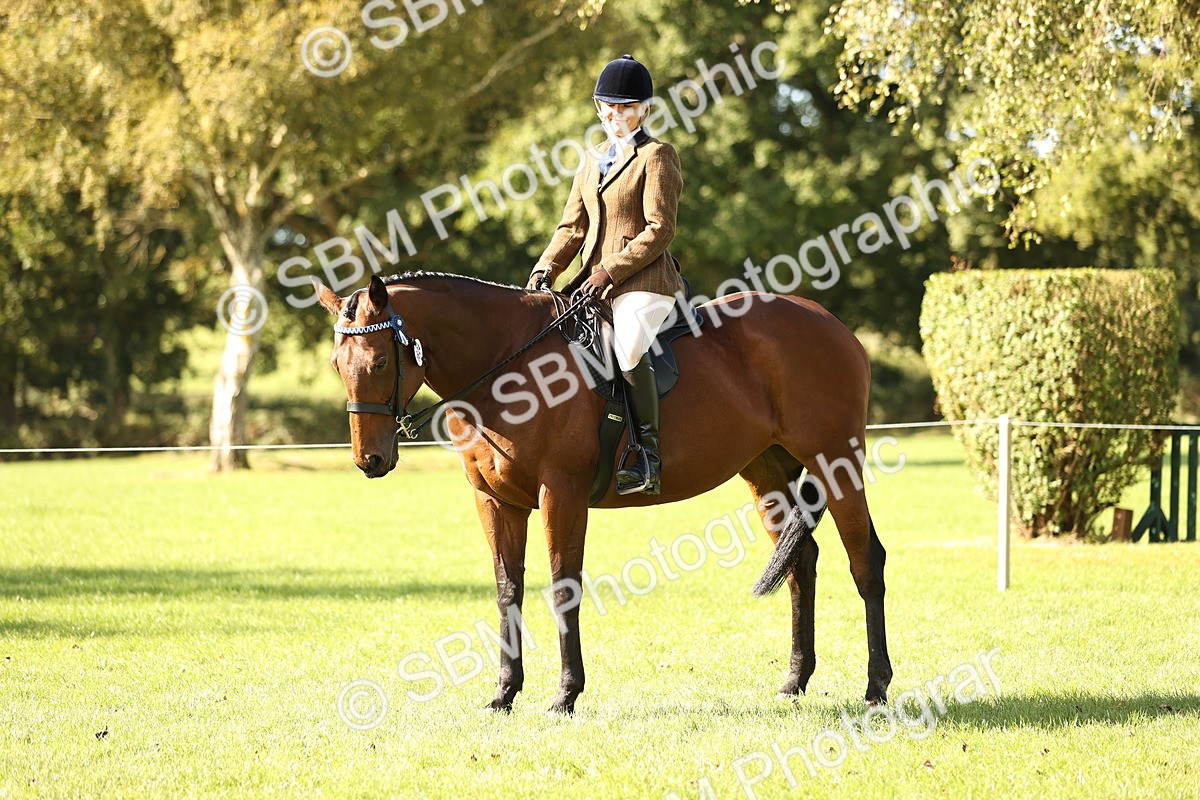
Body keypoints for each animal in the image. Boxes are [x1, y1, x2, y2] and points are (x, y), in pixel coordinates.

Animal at [315, 272, 891, 714]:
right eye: (338, 366)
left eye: (379, 363)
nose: (370, 461)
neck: (507, 366)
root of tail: (829, 322)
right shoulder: (496, 502)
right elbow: (508, 591)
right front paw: (504, 693)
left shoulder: (561, 494)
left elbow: (562, 588)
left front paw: (565, 695)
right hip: (766, 473)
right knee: (802, 562)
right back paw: (795, 681)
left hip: (837, 464)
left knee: (866, 561)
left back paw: (876, 687)